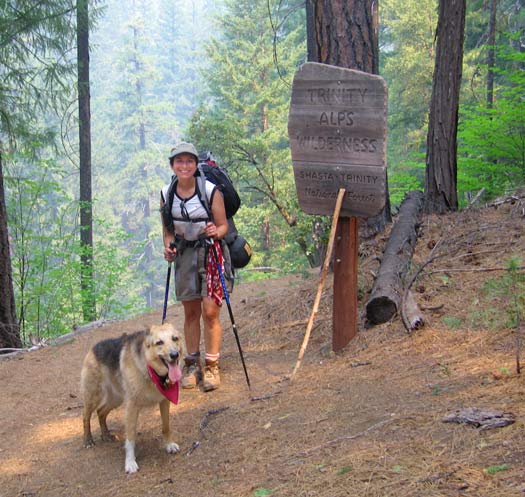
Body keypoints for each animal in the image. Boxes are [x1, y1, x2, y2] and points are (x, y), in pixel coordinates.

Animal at [79, 322, 183, 472]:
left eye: (175, 338)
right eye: (159, 342)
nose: (174, 355)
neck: (150, 370)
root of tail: (94, 347)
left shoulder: (164, 401)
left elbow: (166, 426)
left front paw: (169, 444)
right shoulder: (132, 407)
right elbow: (130, 437)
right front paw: (130, 462)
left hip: (115, 399)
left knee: (101, 412)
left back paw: (106, 435)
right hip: (94, 396)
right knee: (86, 416)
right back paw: (88, 440)